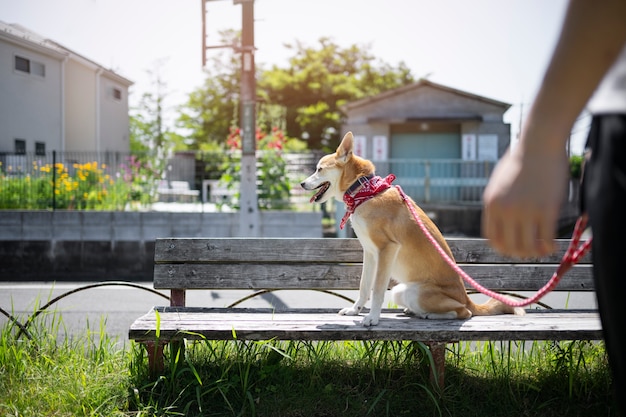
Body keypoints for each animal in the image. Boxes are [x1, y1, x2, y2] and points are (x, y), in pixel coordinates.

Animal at [302, 131, 520, 324]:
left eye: (319, 169)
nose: (302, 183)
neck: (364, 191)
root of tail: (467, 298)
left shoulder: (387, 249)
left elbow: (377, 289)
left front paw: (372, 318)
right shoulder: (370, 253)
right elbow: (364, 286)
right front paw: (355, 310)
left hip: (419, 293)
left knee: (463, 312)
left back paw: (429, 315)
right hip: (401, 291)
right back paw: (413, 311)